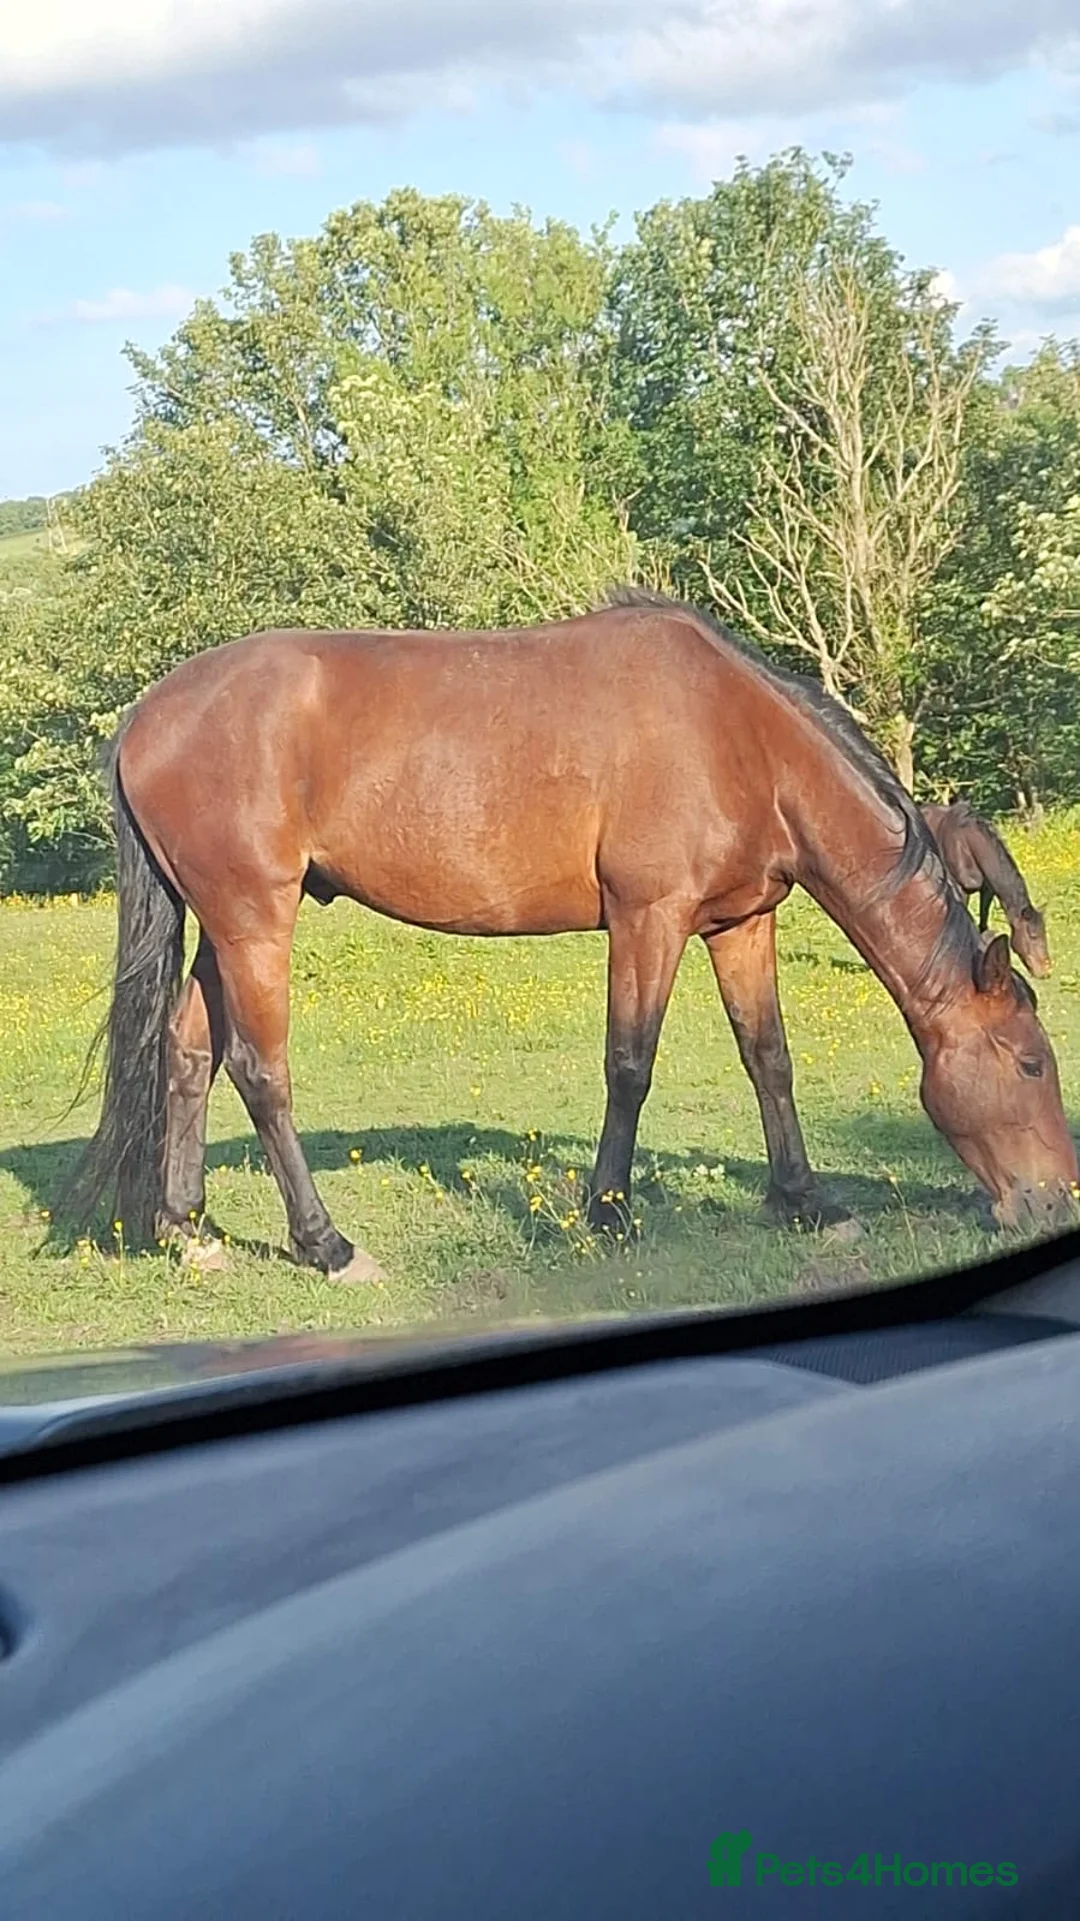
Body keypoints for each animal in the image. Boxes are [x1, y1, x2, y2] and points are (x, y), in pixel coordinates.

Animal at [920, 801, 1051, 979]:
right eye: (1033, 936)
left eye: (1044, 933)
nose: (1046, 970)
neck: (966, 842)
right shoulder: (961, 888)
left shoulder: (987, 889)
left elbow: (983, 922)